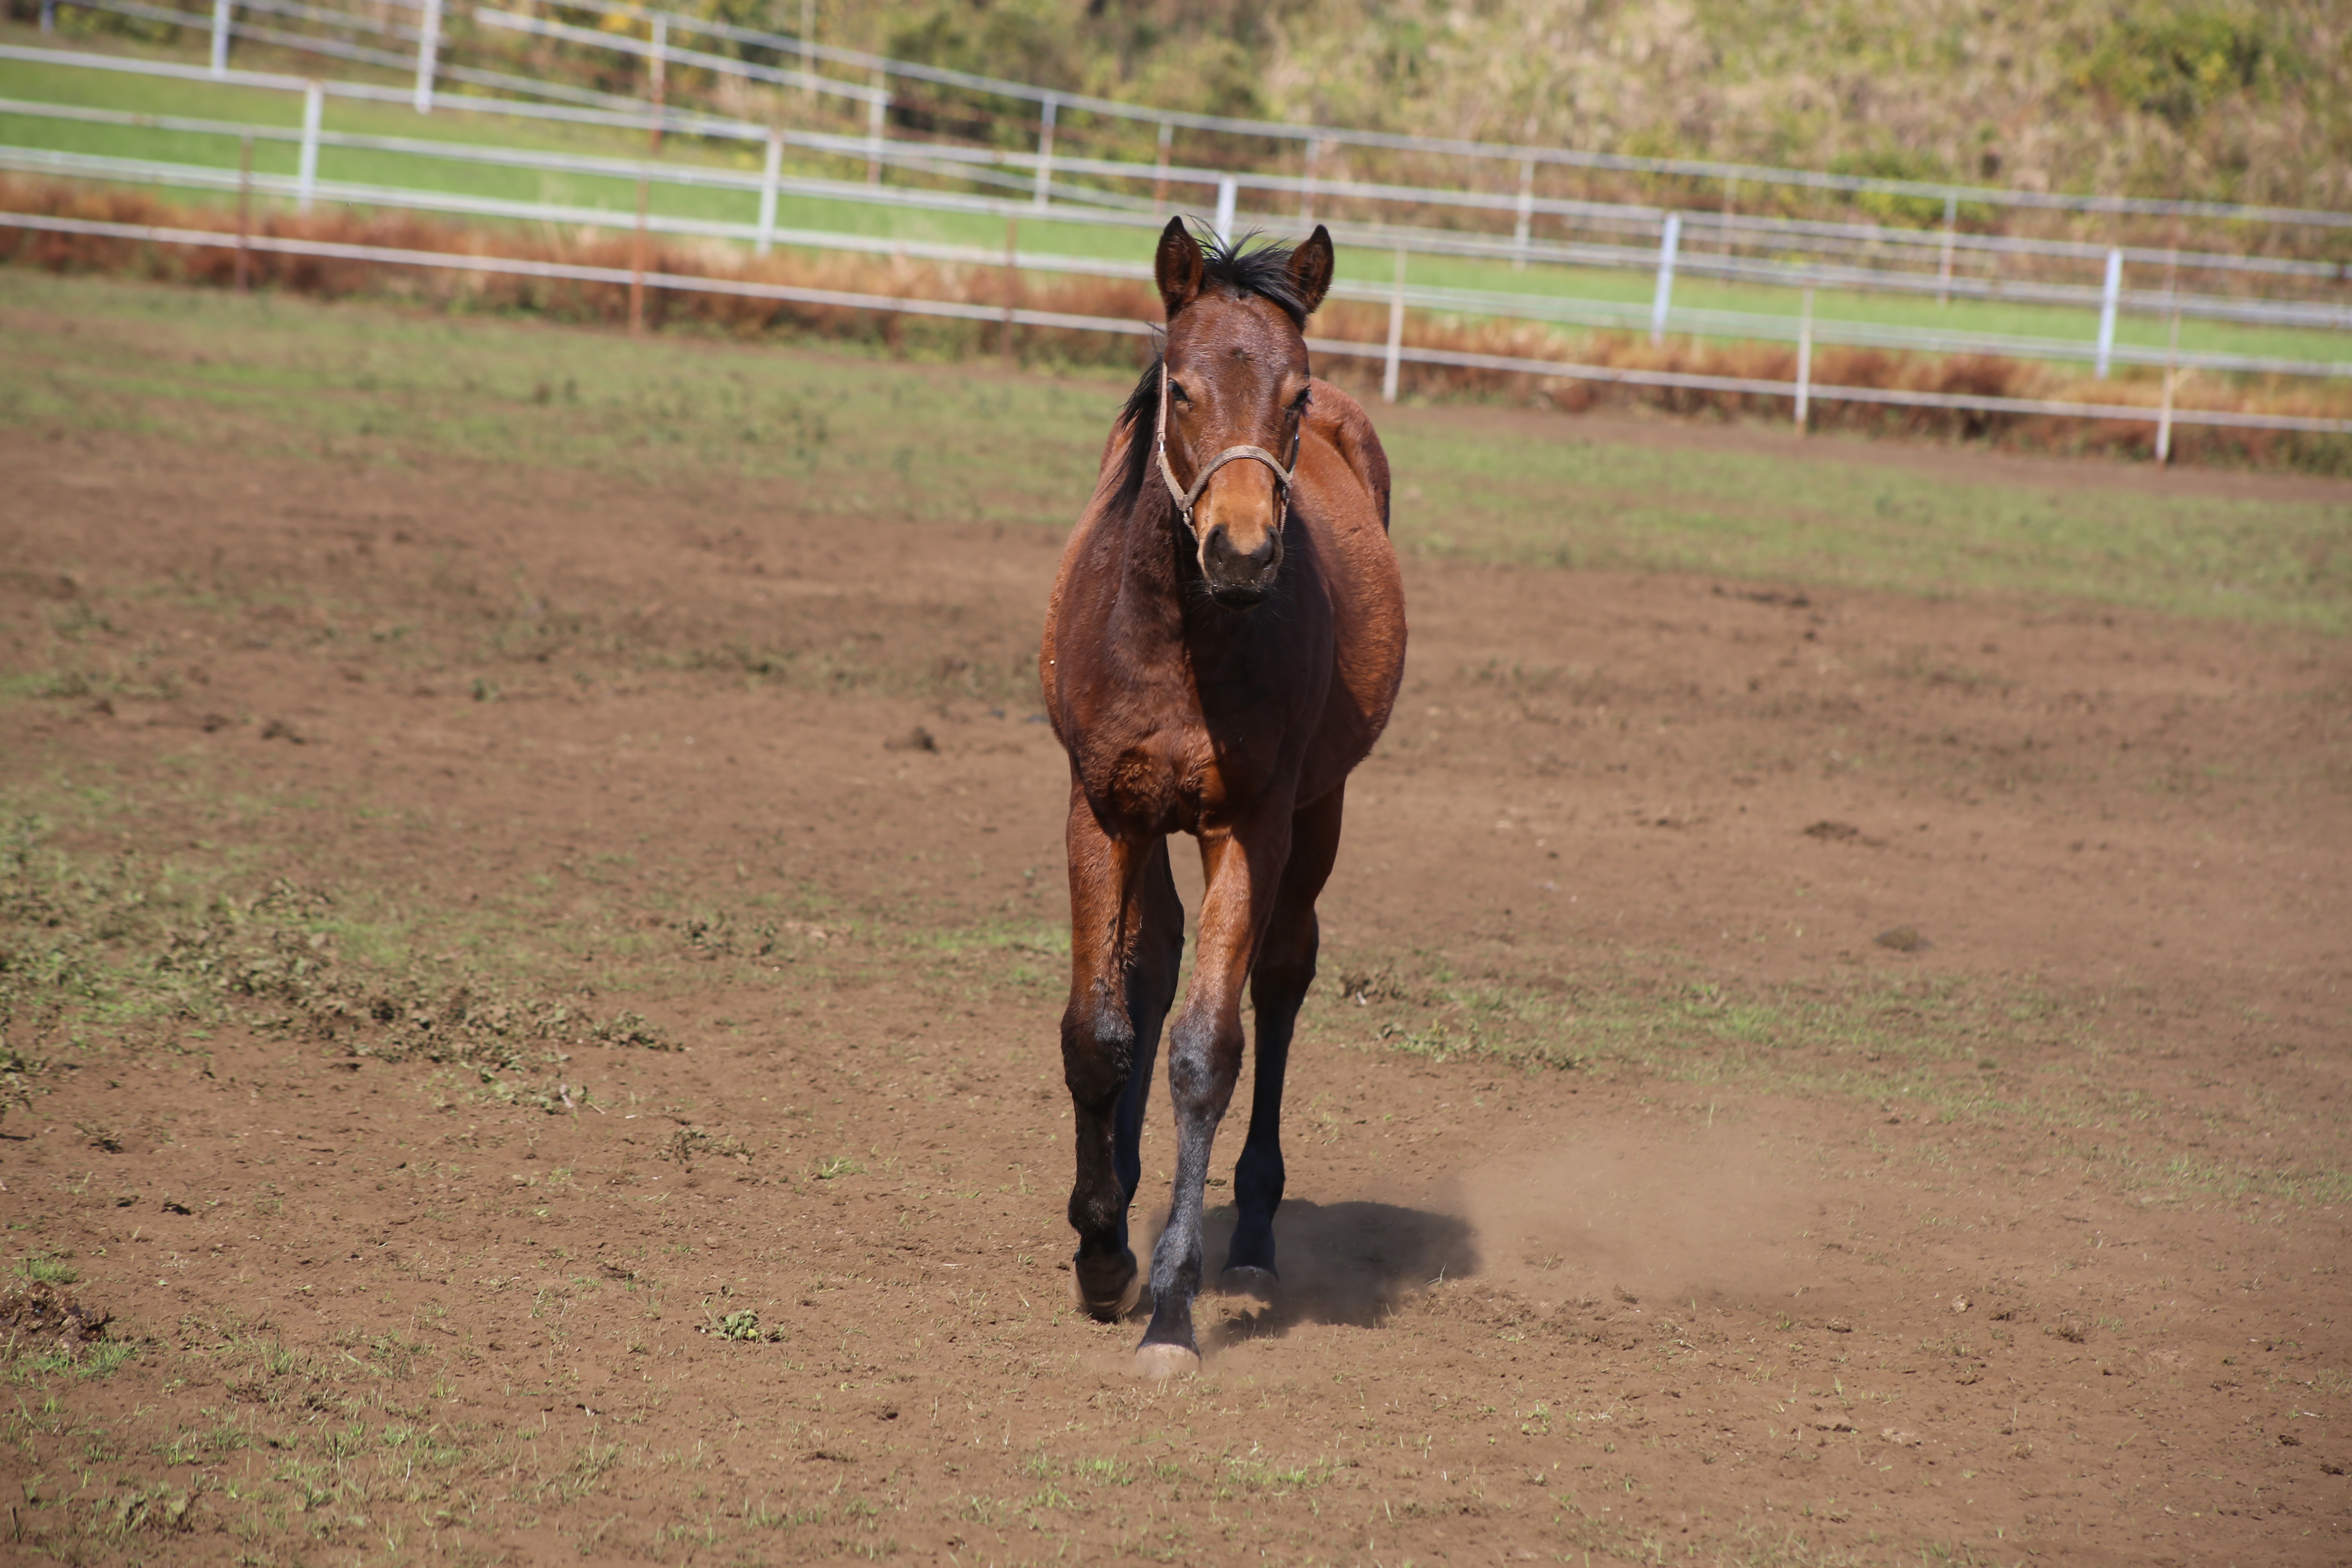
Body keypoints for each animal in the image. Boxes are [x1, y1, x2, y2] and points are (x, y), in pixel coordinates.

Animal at [1039, 221, 1401, 1373]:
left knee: (1280, 979)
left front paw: (1168, 1304)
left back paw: (1250, 1238)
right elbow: (1099, 1029)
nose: (1240, 553)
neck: (1179, 640)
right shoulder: (1100, 808)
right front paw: (1101, 1249)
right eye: (1182, 389)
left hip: (1318, 812)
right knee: (1149, 965)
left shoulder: (1250, 824)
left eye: (1295, 393)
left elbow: (1207, 1051)